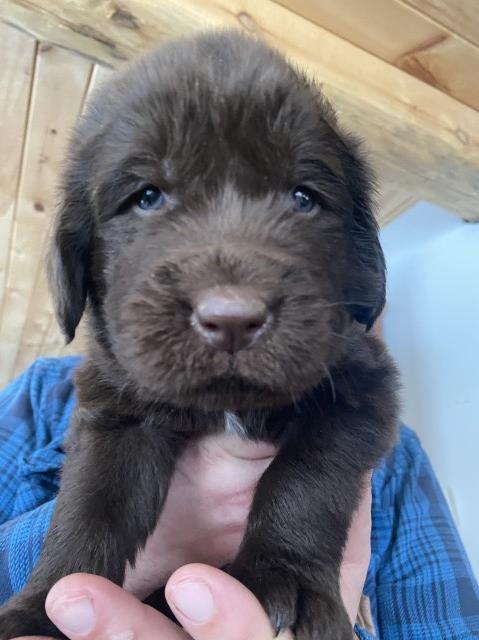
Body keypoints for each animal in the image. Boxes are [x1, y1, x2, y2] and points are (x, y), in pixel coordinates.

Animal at [0, 31, 398, 640]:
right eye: (147, 196)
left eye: (304, 198)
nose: (233, 319)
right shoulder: (117, 404)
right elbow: (92, 501)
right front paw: (42, 607)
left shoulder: (360, 388)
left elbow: (307, 478)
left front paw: (288, 576)